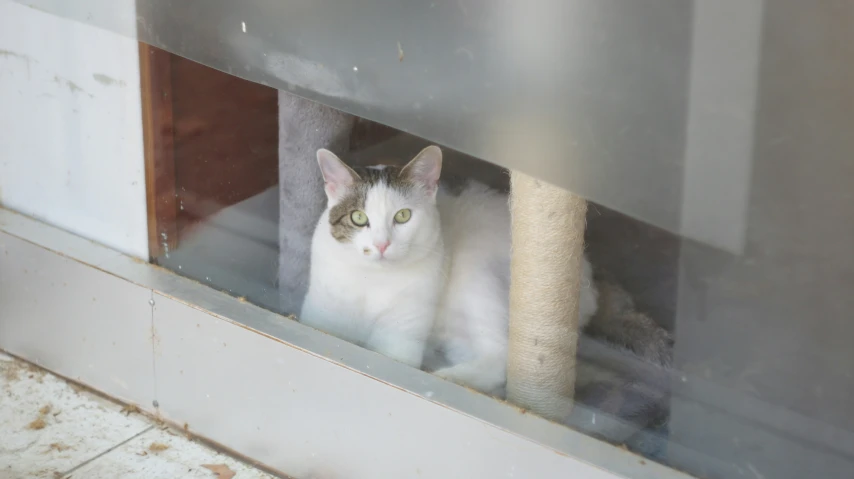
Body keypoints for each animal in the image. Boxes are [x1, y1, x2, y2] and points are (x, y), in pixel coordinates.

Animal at [300, 146, 600, 398]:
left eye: (403, 216)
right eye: (358, 218)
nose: (381, 244)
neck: (373, 280)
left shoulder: (401, 336)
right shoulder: (320, 314)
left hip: (475, 269)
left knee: (500, 356)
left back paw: (450, 378)